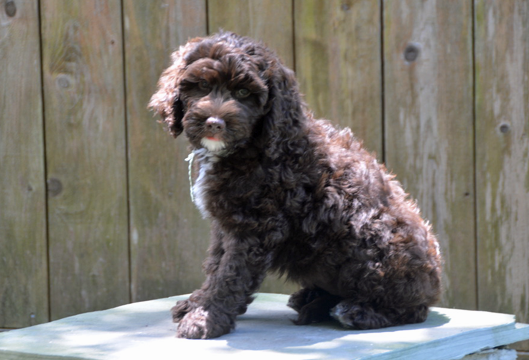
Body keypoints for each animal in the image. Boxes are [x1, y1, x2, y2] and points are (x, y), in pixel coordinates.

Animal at [150, 32, 442, 338]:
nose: (215, 123)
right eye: (203, 86)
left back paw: (357, 312)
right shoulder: (227, 222)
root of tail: (434, 285)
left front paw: (205, 318)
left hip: (374, 243)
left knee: (412, 309)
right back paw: (312, 299)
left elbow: (229, 273)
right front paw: (196, 303)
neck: (253, 146)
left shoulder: (254, 225)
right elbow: (216, 264)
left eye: (243, 93)